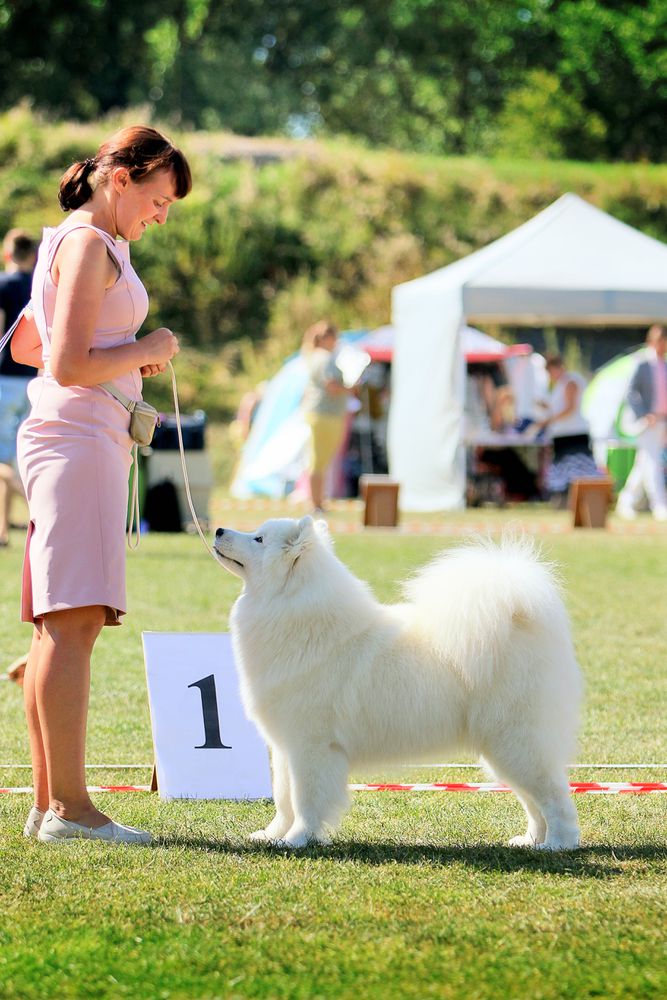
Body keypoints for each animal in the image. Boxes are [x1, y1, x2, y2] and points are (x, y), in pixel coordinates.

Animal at [215, 516, 584, 852]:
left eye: (258, 539)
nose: (218, 530)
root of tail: (522, 619)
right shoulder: (285, 748)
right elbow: (284, 799)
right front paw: (273, 835)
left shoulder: (312, 747)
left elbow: (305, 800)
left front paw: (298, 839)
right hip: (502, 750)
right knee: (534, 803)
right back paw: (531, 841)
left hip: (515, 745)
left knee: (555, 798)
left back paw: (557, 845)